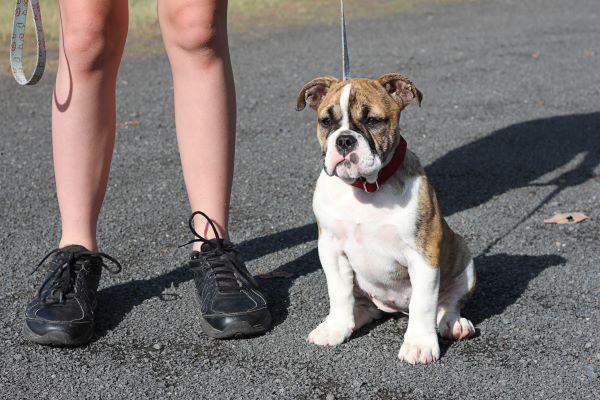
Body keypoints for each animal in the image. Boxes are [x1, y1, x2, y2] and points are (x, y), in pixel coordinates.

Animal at [296, 73, 478, 364]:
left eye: (373, 121)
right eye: (326, 121)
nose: (344, 140)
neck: (365, 188)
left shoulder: (423, 253)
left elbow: (424, 303)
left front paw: (419, 344)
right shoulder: (331, 249)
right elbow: (339, 293)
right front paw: (335, 327)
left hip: (464, 258)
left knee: (447, 303)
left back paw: (454, 324)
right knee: (361, 305)